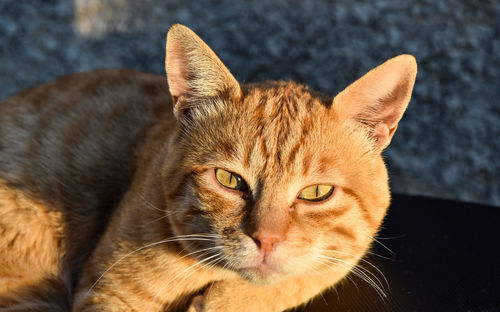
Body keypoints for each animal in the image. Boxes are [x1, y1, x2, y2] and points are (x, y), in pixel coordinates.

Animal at [0, 25, 416, 312]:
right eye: (229, 180)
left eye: (316, 193)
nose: (266, 240)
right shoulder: (107, 292)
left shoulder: (343, 258)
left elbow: (304, 275)